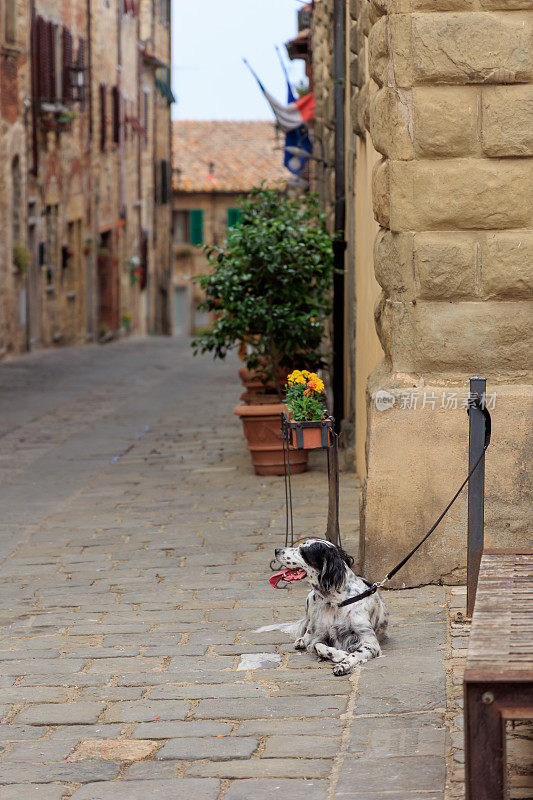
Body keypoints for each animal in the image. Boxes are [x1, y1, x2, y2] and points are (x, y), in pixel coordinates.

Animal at [274, 536, 386, 676]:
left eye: (302, 551)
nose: (276, 550)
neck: (337, 602)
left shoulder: (370, 643)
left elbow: (355, 654)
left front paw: (344, 664)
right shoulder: (321, 635)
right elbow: (318, 646)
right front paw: (340, 655)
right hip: (311, 601)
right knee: (309, 629)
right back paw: (302, 640)